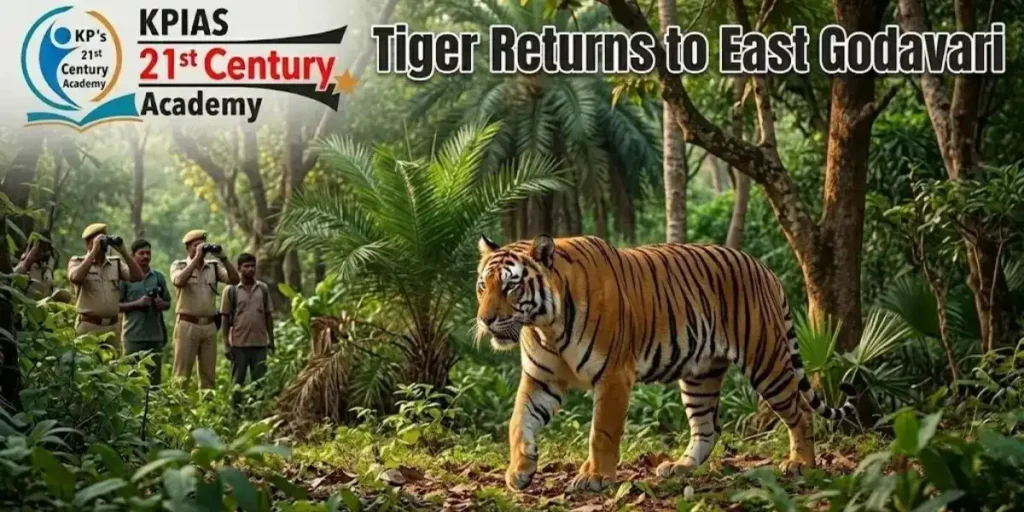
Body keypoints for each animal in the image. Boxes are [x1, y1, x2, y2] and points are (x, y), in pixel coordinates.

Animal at [474, 234, 856, 492]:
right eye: (482, 286)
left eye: (510, 287)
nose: (485, 320)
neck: (545, 326)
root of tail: (763, 268)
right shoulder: (541, 379)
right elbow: (518, 422)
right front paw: (520, 470)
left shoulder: (614, 377)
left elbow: (602, 432)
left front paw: (595, 477)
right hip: (701, 375)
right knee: (707, 428)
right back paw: (680, 467)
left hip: (766, 360)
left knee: (799, 412)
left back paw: (801, 464)